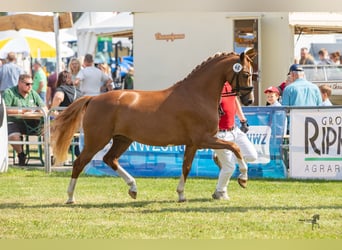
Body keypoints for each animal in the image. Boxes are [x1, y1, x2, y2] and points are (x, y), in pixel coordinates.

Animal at [51, 48, 256, 203]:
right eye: (246, 74)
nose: (249, 100)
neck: (197, 94)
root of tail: (93, 98)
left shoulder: (193, 144)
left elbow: (186, 167)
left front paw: (181, 195)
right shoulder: (203, 139)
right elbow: (235, 147)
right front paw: (243, 178)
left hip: (122, 139)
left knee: (110, 159)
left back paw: (133, 188)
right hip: (97, 140)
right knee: (80, 163)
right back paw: (70, 197)